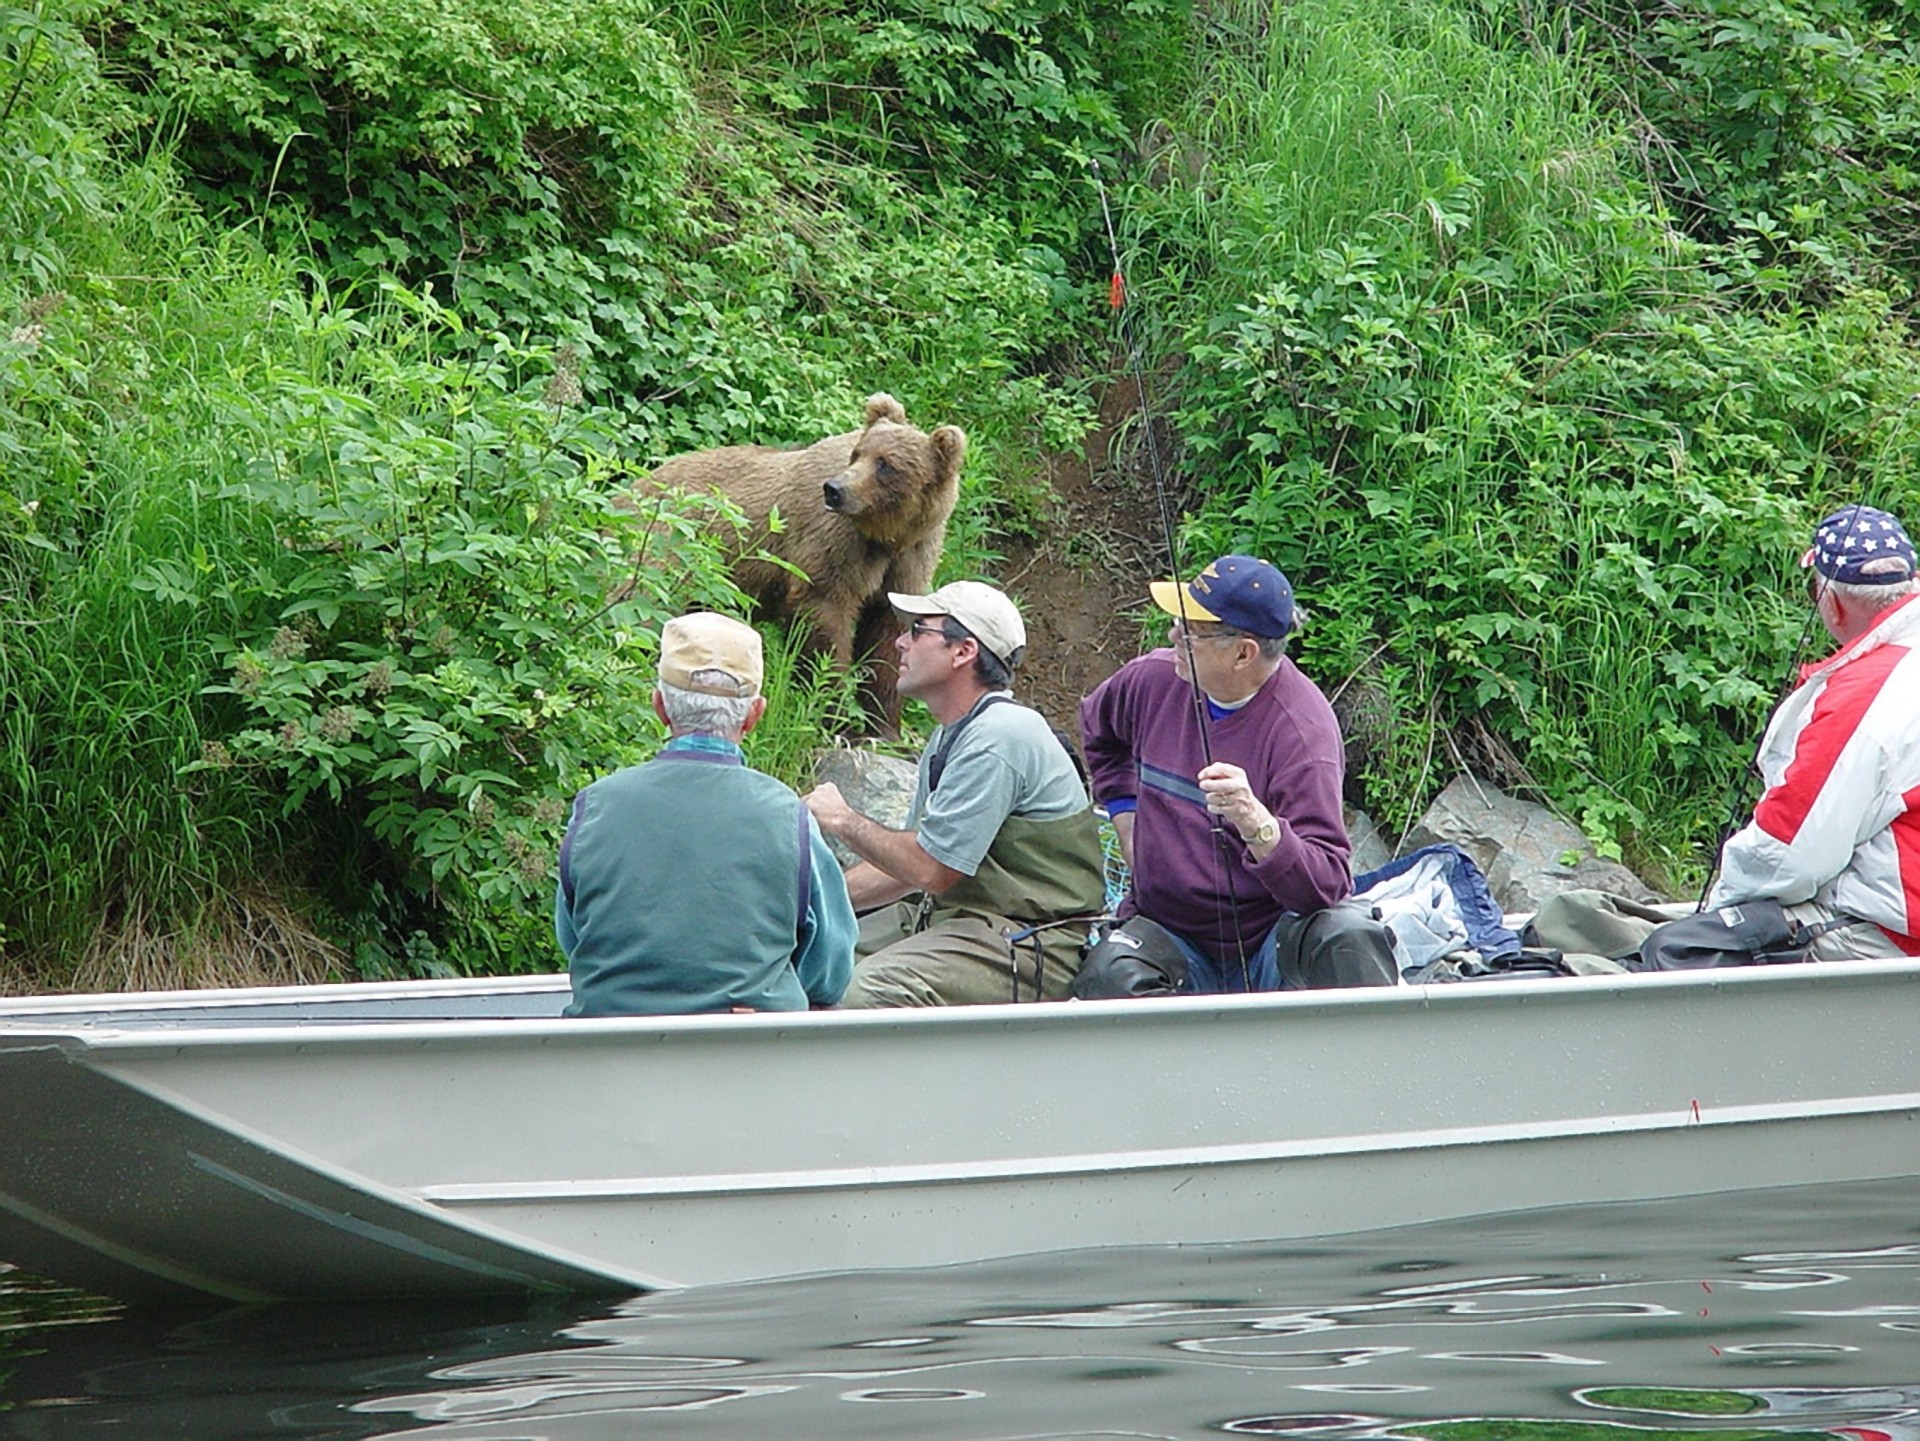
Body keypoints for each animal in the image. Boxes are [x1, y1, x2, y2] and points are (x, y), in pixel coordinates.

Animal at [645, 395, 967, 732]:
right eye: (858, 454)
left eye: (886, 464)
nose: (835, 490)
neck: (885, 536)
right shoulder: (836, 545)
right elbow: (824, 616)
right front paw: (836, 714)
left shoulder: (910, 558)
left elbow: (888, 637)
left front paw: (883, 725)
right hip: (672, 545)